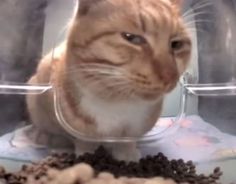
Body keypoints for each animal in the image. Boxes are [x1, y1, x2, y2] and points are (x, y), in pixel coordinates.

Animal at [26, 0, 192, 161]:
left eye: (176, 44)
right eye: (131, 38)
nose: (170, 76)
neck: (115, 102)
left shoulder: (133, 130)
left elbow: (127, 141)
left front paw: (127, 154)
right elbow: (83, 142)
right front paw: (85, 154)